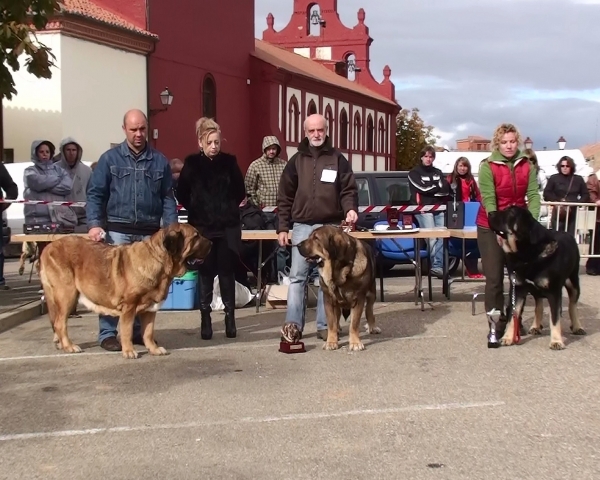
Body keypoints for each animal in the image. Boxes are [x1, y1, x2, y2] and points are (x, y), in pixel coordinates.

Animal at [38, 223, 212, 358]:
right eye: (196, 237)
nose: (211, 243)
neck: (159, 261)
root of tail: (48, 247)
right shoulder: (129, 306)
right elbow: (127, 330)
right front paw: (129, 351)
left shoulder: (150, 309)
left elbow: (148, 332)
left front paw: (154, 349)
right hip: (67, 295)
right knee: (60, 323)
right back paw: (69, 346)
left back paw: (61, 344)